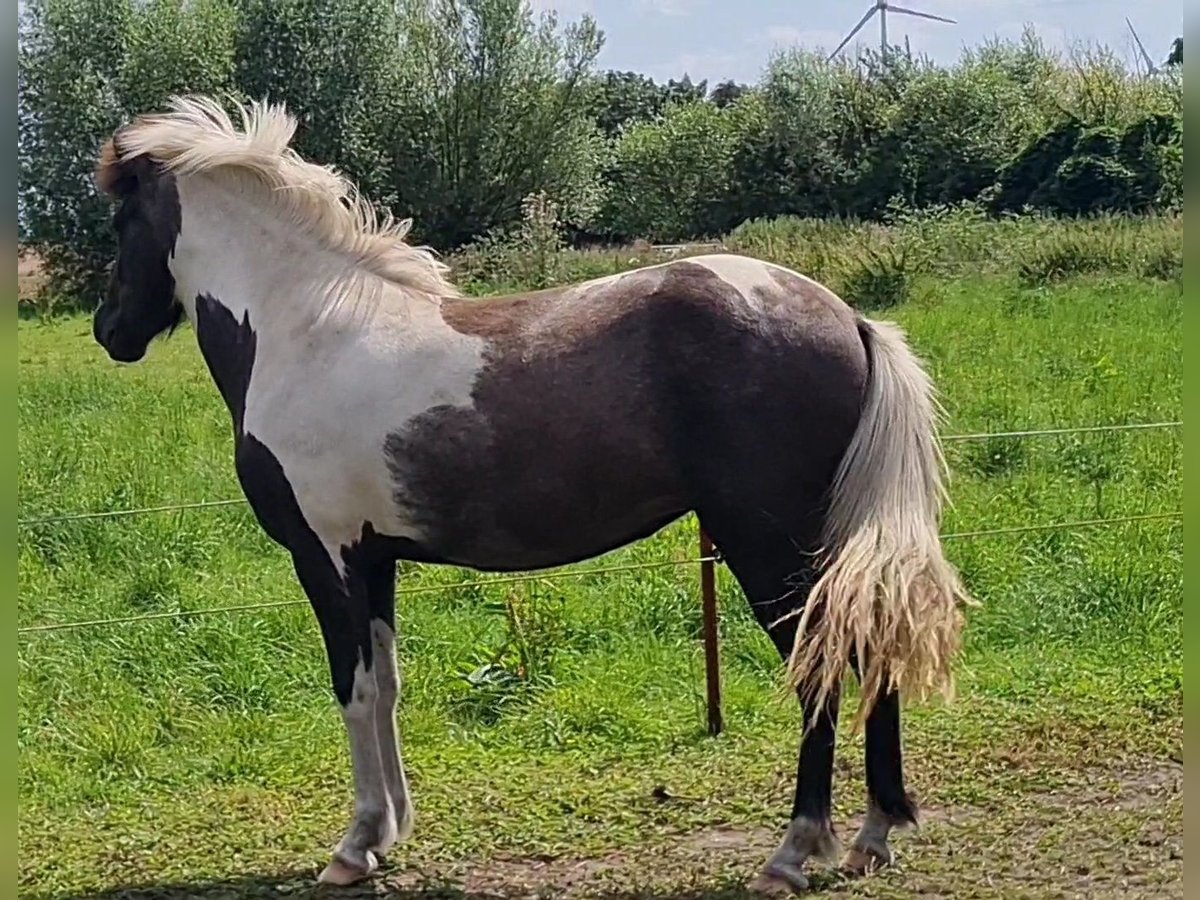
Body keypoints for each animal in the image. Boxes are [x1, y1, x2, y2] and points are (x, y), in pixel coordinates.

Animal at [93, 95, 974, 892]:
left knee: (821, 668)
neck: (307, 330)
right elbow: (389, 686)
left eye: (120, 222)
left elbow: (354, 688)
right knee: (869, 652)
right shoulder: (376, 560)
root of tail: (848, 316)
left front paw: (353, 848)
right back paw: (873, 836)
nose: (109, 330)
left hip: (766, 544)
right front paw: (390, 833)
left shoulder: (327, 557)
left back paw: (794, 853)